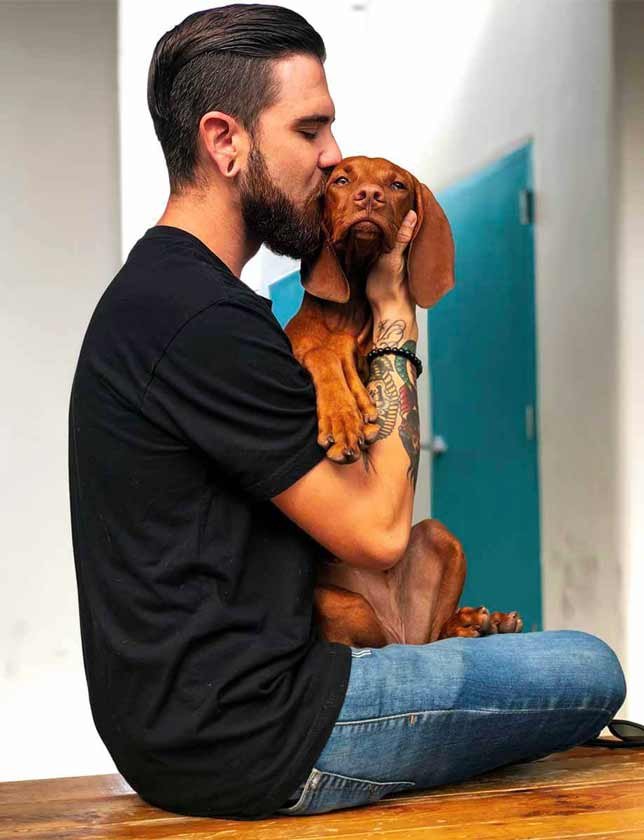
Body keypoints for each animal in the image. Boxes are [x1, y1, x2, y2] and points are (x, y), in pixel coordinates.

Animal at [284, 159, 520, 648]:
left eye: (396, 185)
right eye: (342, 179)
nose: (370, 197)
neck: (354, 304)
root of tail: (396, 626)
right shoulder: (305, 343)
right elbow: (322, 350)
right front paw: (343, 415)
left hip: (438, 536)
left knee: (431, 636)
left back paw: (476, 622)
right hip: (340, 604)